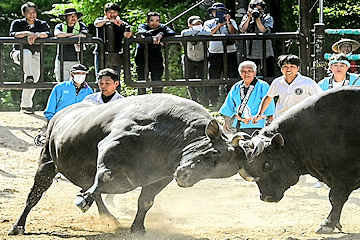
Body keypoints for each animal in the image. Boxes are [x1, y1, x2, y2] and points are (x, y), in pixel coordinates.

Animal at [8, 93, 250, 234]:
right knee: (35, 194)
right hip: (47, 163)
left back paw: (109, 218)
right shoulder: (111, 146)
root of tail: (60, 115)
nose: (185, 178)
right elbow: (104, 176)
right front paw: (82, 200)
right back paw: (18, 226)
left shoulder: (161, 177)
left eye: (217, 173)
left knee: (95, 192)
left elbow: (146, 201)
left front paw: (138, 227)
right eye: (210, 155)